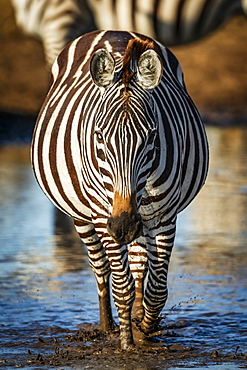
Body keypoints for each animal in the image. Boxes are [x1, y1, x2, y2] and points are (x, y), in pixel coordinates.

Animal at [30, 29, 208, 350]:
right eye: (99, 136)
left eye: (151, 136)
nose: (123, 226)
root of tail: (114, 31)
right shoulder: (104, 215)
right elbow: (120, 285)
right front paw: (127, 342)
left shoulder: (164, 215)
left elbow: (156, 289)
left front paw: (145, 328)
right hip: (83, 216)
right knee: (101, 270)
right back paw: (107, 326)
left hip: (142, 220)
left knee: (138, 266)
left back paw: (136, 315)